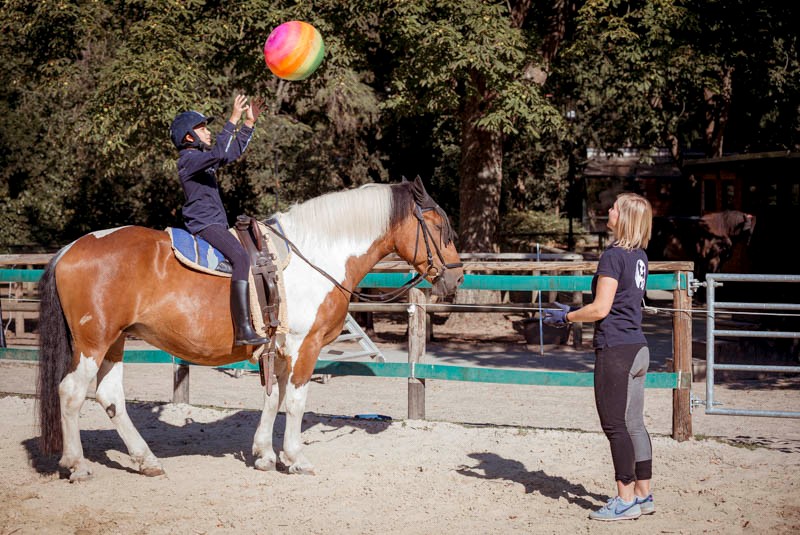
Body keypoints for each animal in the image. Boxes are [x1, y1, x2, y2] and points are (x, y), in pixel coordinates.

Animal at [37, 177, 462, 482]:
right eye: (440, 226)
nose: (455, 277)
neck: (315, 256)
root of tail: (70, 248)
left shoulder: (280, 350)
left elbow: (273, 399)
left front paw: (264, 455)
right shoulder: (305, 347)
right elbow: (296, 401)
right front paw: (295, 457)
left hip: (116, 341)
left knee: (110, 398)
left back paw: (147, 461)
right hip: (94, 343)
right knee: (71, 392)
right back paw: (77, 464)